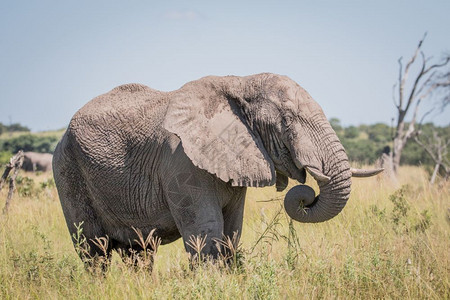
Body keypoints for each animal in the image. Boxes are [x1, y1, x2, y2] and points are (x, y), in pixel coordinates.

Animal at [53, 73, 384, 270]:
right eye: (287, 121)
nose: (306, 195)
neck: (240, 83)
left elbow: (231, 235)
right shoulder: (181, 163)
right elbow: (207, 238)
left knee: (139, 253)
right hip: (67, 170)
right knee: (94, 251)